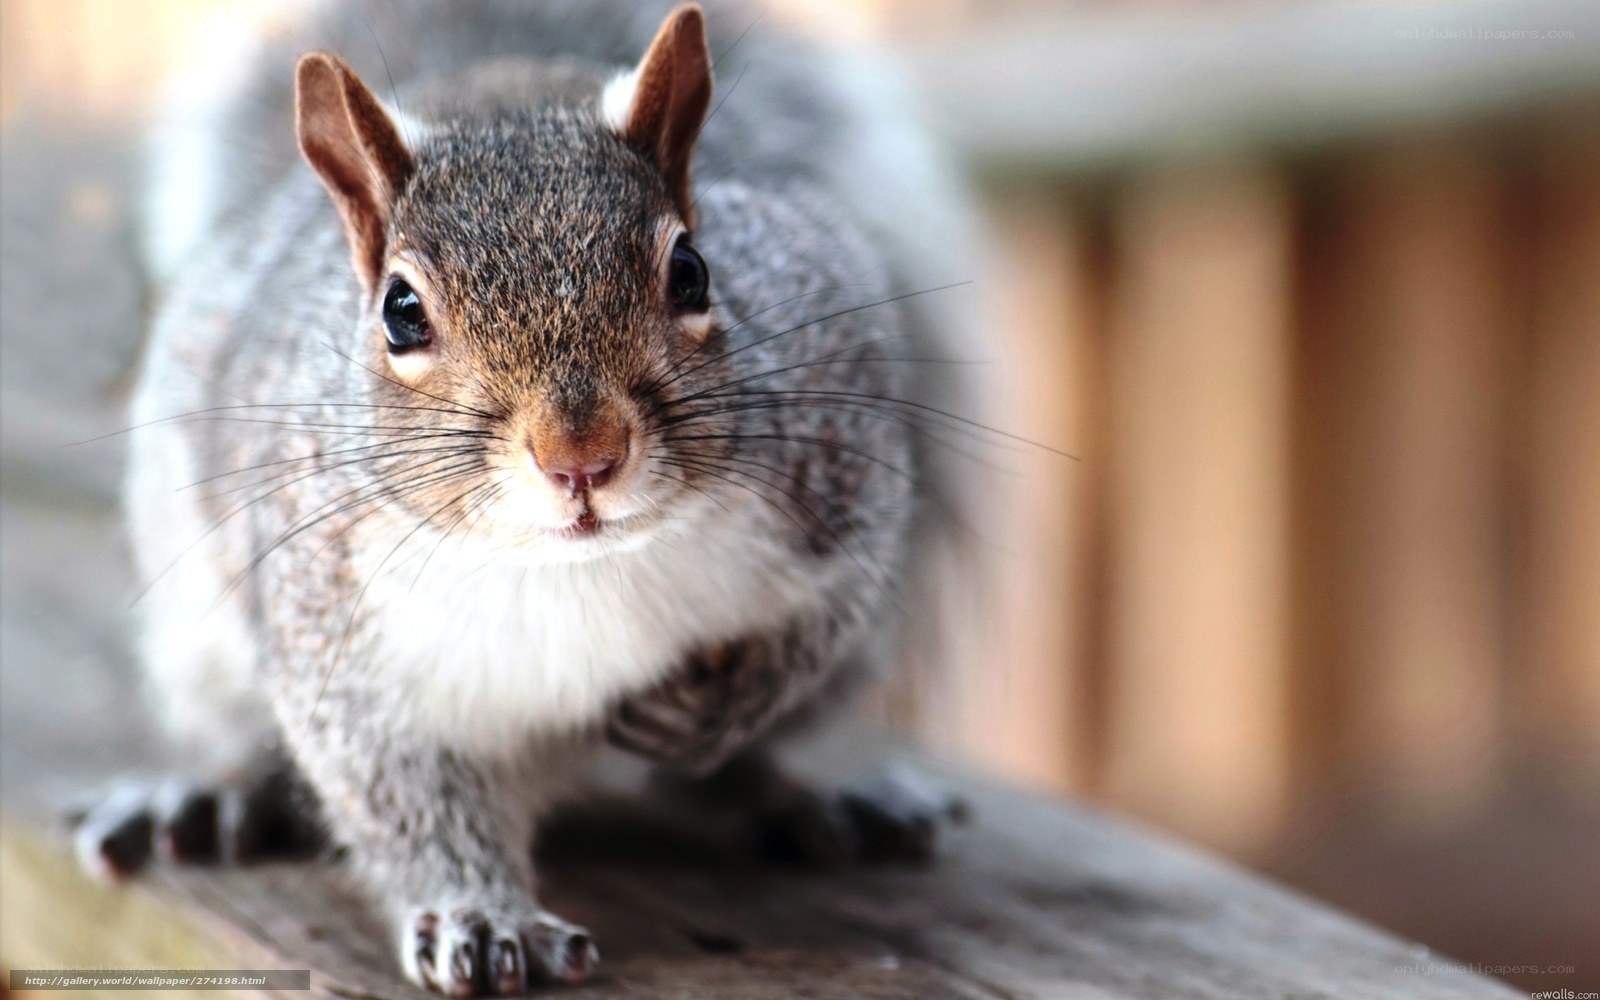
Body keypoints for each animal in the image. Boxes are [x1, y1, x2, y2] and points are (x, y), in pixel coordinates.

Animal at [71, 0, 980, 994]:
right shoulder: (340, 635)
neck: (579, 566)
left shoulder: (841, 476)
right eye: (400, 311)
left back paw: (815, 800)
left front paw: (712, 703)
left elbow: (821, 626)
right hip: (196, 632)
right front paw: (477, 917)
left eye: (693, 270)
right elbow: (400, 796)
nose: (582, 457)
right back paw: (212, 796)